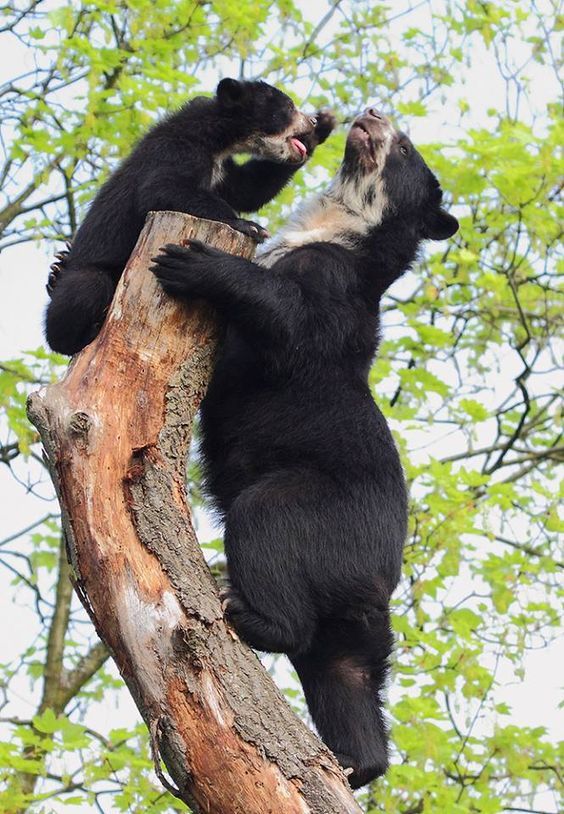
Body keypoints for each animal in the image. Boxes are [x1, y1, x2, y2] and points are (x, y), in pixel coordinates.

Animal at [45, 78, 334, 356]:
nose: (311, 121)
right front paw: (250, 226)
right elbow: (160, 188)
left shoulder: (222, 169)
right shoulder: (178, 149)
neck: (218, 138)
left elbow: (247, 189)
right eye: (288, 107)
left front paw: (325, 125)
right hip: (91, 268)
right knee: (84, 289)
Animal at [151, 108, 458, 792]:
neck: (335, 229)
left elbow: (290, 318)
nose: (370, 113)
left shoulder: (330, 287)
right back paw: (353, 762)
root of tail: (378, 581)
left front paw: (187, 261)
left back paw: (242, 610)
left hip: (309, 509)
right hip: (352, 623)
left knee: (266, 527)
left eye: (404, 147)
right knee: (346, 674)